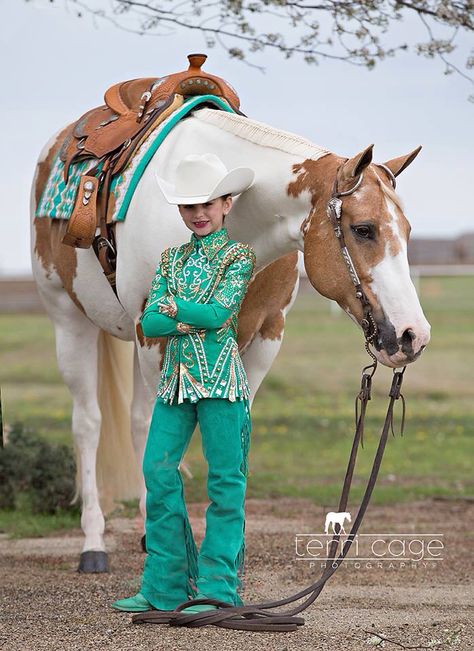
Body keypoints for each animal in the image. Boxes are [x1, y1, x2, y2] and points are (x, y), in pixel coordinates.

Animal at [30, 105, 430, 572]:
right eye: (364, 229)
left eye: (407, 230)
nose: (413, 335)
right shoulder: (154, 335)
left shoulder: (267, 334)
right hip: (69, 321)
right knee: (89, 424)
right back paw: (94, 542)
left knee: (136, 421)